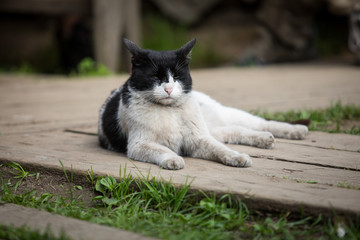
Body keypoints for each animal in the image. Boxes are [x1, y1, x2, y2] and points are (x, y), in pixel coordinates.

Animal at [98, 38, 310, 170]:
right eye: (155, 77)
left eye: (177, 76)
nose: (169, 89)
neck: (169, 111)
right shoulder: (140, 144)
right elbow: (162, 149)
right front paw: (173, 159)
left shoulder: (198, 139)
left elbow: (220, 149)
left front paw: (237, 157)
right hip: (213, 127)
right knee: (234, 131)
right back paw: (265, 139)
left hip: (222, 115)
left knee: (259, 122)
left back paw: (296, 131)